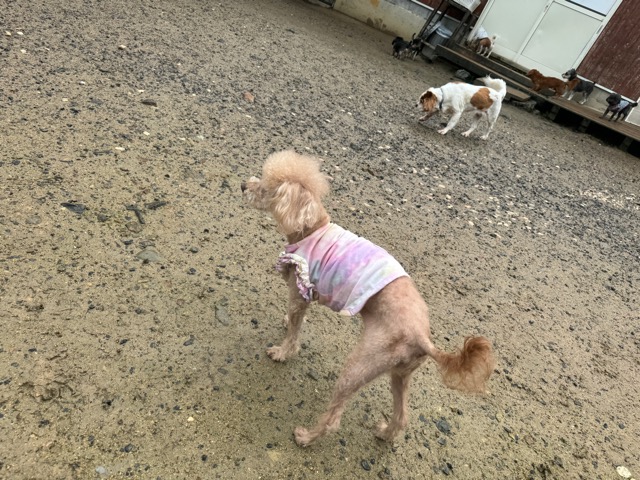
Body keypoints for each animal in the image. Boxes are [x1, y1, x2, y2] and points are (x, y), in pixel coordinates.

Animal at [241, 150, 494, 447]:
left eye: (266, 188)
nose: (243, 185)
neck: (311, 228)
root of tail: (423, 337)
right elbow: (293, 321)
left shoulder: (299, 291)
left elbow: (294, 329)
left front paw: (282, 352)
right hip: (399, 373)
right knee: (402, 416)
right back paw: (385, 433)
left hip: (361, 364)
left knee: (334, 419)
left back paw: (306, 437)